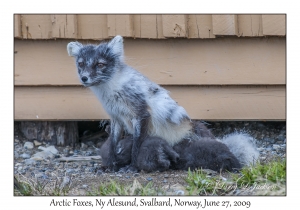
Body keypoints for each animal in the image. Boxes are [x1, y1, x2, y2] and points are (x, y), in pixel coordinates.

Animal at [67, 35, 195, 171]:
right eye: (81, 64)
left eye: (100, 64)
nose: (84, 78)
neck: (112, 91)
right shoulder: (116, 117)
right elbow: (112, 143)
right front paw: (110, 165)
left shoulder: (141, 114)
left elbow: (136, 145)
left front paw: (133, 167)